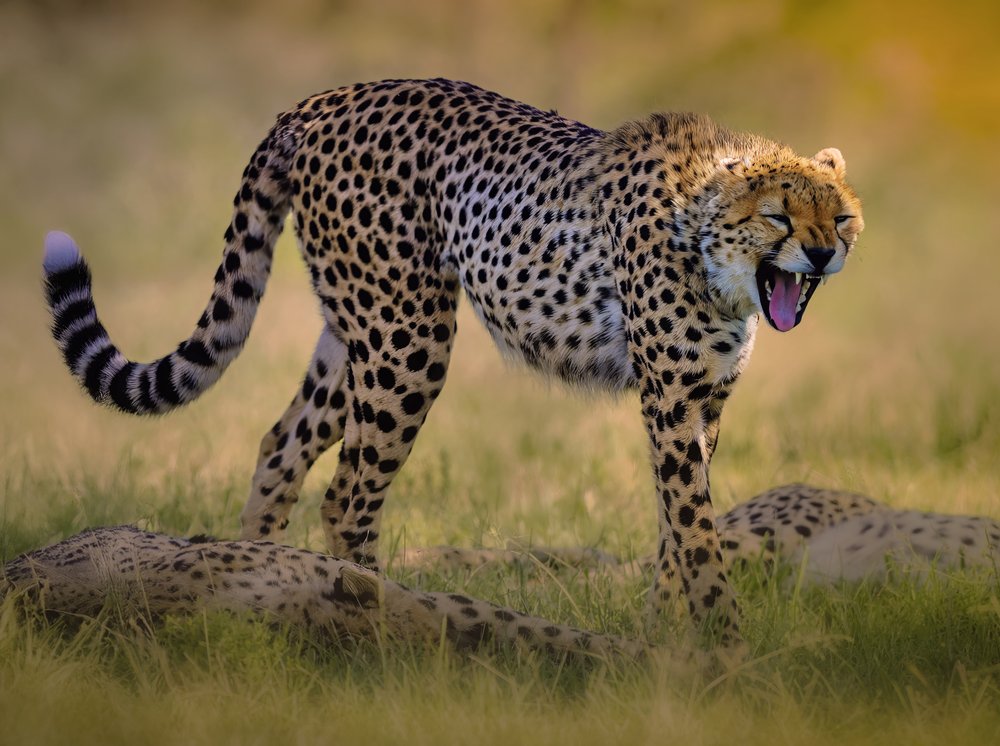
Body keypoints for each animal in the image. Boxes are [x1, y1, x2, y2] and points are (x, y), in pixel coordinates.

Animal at [42, 78, 864, 646]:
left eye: (842, 215)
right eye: (779, 215)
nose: (824, 253)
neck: (710, 250)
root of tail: (320, 100)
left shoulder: (701, 405)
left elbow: (677, 528)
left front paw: (665, 634)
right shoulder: (668, 398)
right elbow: (694, 528)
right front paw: (726, 645)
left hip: (356, 335)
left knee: (280, 447)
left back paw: (255, 585)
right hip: (408, 337)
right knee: (347, 496)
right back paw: (376, 626)